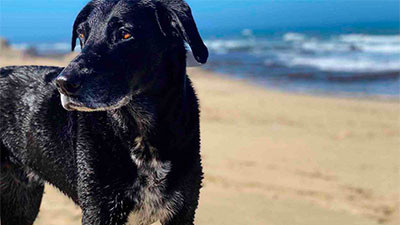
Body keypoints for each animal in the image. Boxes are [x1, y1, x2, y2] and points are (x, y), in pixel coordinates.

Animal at [1, 0, 209, 224]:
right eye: (82, 34)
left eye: (125, 34)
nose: (63, 84)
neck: (140, 129)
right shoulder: (98, 209)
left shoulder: (182, 212)